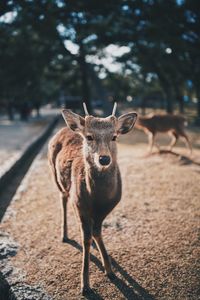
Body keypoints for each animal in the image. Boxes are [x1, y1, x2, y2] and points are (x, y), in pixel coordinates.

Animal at [47, 103, 138, 296]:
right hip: (56, 177)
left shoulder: (106, 208)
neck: (97, 198)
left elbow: (96, 232)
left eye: (114, 136)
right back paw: (64, 235)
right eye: (89, 136)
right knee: (63, 199)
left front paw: (109, 270)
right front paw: (85, 285)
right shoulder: (79, 204)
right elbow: (86, 238)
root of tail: (65, 128)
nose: (104, 158)